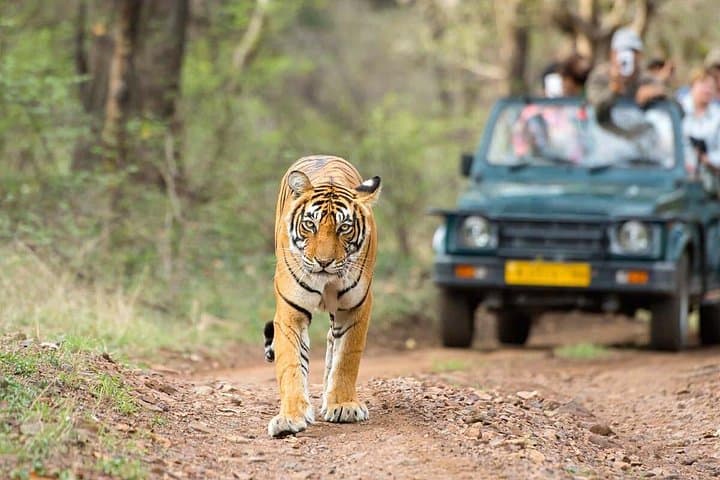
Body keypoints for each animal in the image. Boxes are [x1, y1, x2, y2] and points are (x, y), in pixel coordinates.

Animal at [263, 154, 381, 437]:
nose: (324, 262)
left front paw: (343, 405)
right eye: (310, 224)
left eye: (344, 228)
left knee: (332, 342)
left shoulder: (356, 307)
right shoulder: (290, 312)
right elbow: (291, 364)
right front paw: (290, 417)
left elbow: (347, 357)